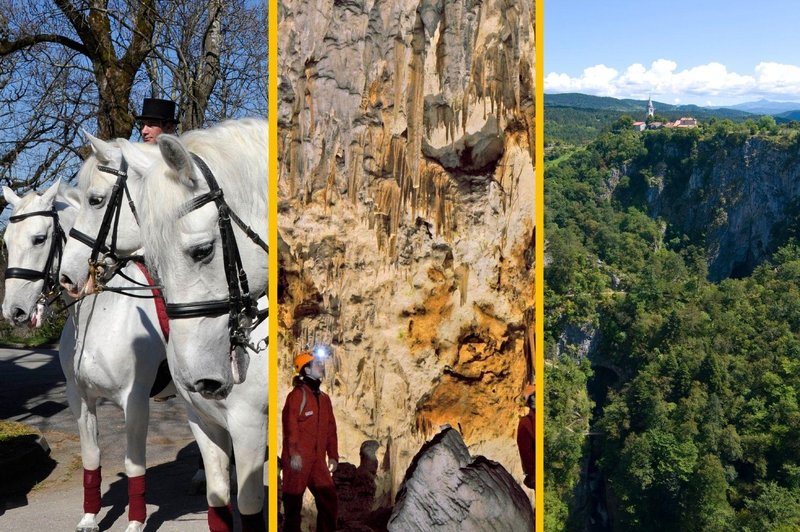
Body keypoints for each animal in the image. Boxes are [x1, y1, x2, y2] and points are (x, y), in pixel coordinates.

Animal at [3, 182, 173, 532]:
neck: (104, 311)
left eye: (39, 239)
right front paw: (89, 518)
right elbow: (92, 457)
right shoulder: (80, 398)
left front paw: (135, 523)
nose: (14, 312)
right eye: (6, 241)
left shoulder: (135, 400)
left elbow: (134, 464)